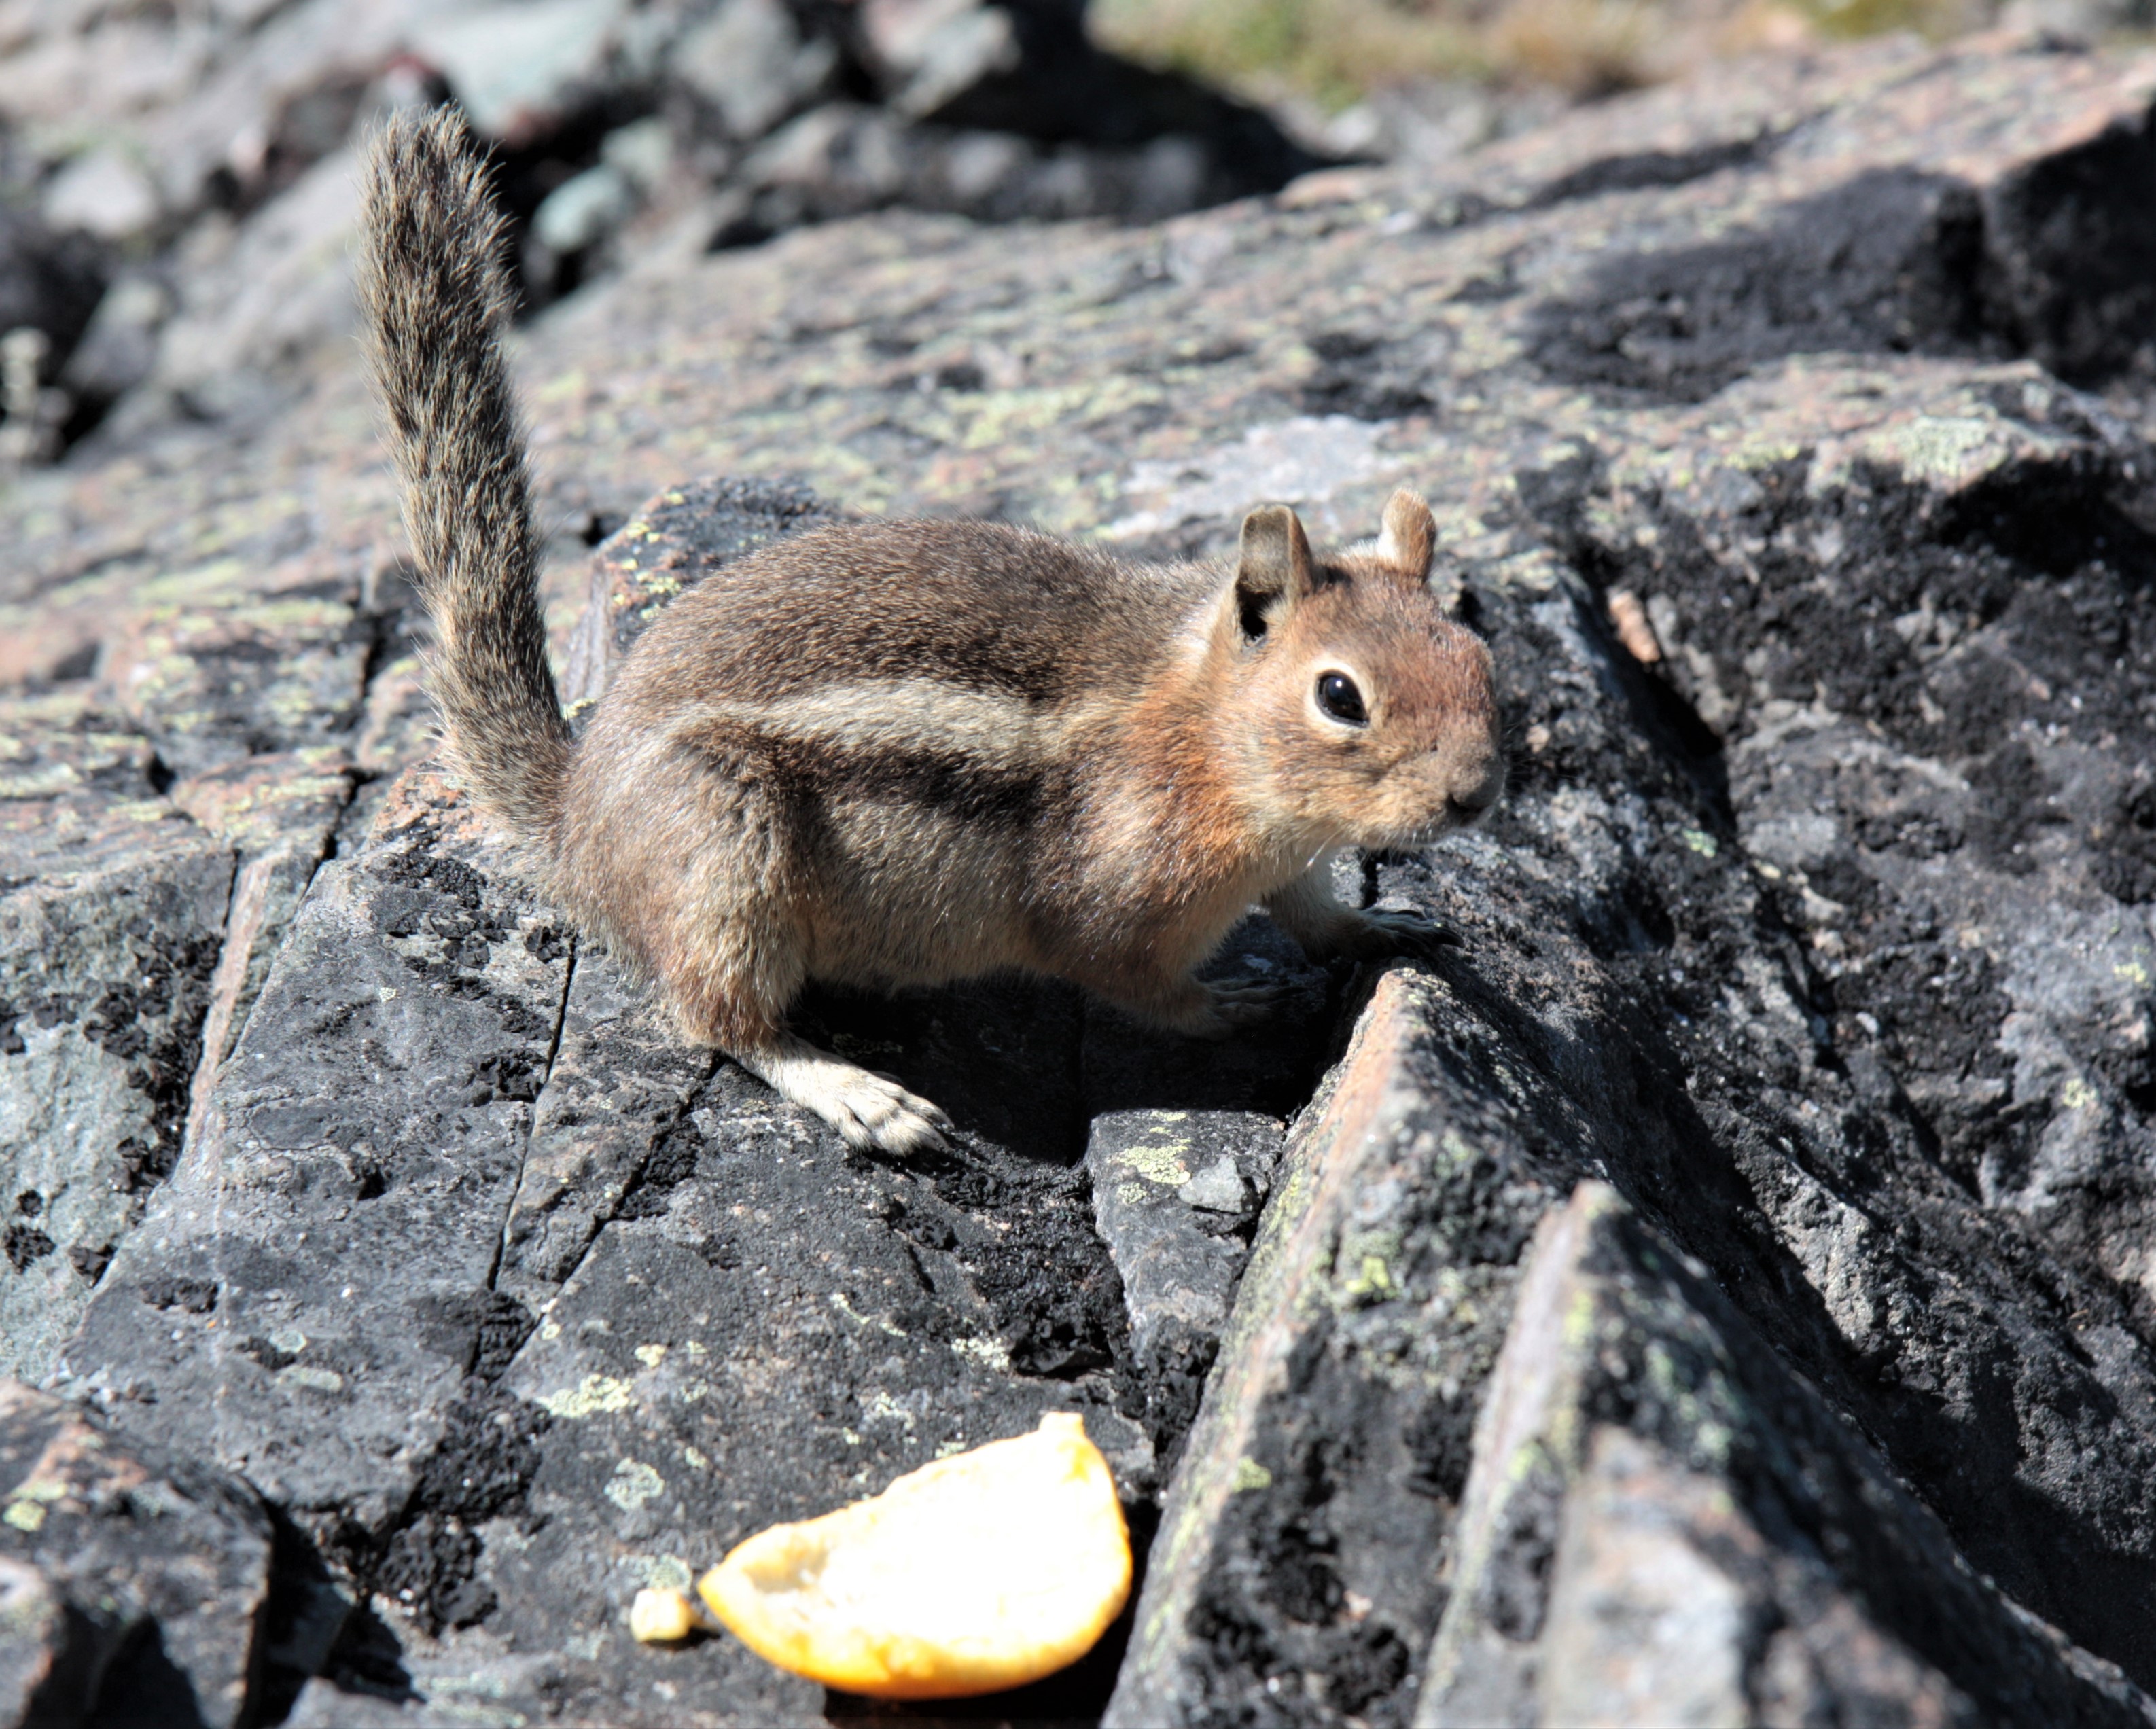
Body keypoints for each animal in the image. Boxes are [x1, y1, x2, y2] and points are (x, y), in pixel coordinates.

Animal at [357, 114, 1500, 1155]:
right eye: (1341, 696)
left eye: (1479, 655)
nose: (1476, 796)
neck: (1207, 739)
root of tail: (575, 823)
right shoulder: (1112, 905)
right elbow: (1140, 984)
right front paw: (1236, 1004)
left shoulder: (1292, 856)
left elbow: (1316, 908)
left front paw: (1381, 923)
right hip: (724, 856)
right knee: (717, 1017)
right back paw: (861, 1095)